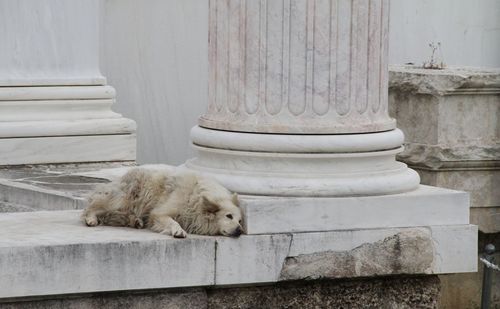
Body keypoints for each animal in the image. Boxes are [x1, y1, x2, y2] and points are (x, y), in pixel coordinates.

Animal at [82, 167, 244, 237]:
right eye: (228, 216)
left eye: (240, 220)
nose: (240, 231)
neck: (195, 199)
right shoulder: (159, 213)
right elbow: (172, 221)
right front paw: (178, 230)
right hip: (121, 200)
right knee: (92, 207)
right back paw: (91, 218)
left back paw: (136, 221)